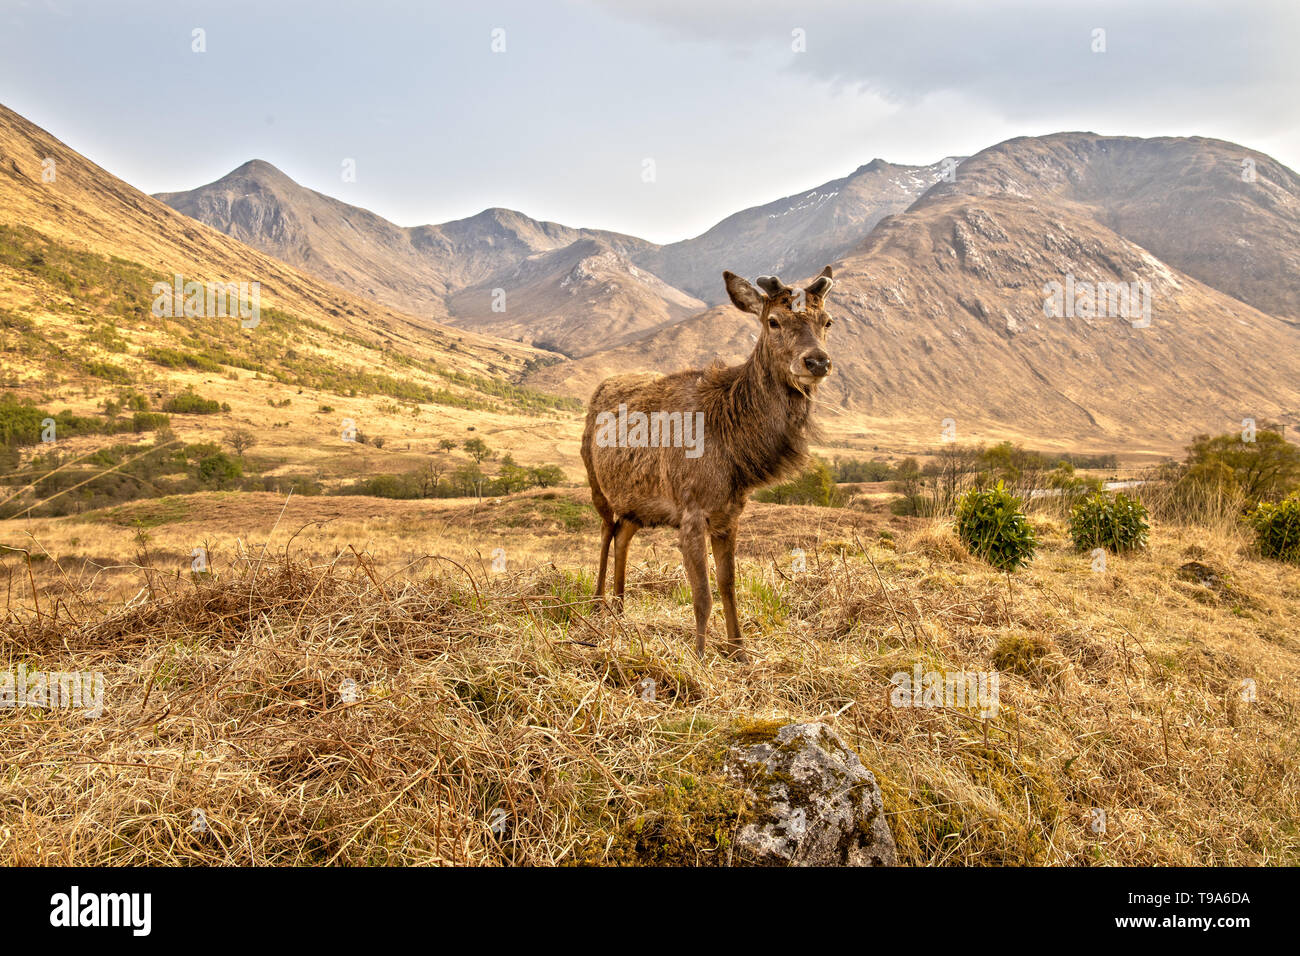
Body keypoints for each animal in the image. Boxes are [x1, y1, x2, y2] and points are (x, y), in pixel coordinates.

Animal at [580, 266, 836, 663]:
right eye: (773, 321)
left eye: (828, 321)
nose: (817, 361)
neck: (735, 448)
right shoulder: (691, 509)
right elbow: (702, 594)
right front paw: (700, 656)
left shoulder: (729, 513)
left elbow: (728, 584)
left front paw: (739, 649)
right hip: (597, 485)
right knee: (607, 533)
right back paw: (597, 604)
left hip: (639, 502)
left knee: (624, 533)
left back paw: (620, 607)